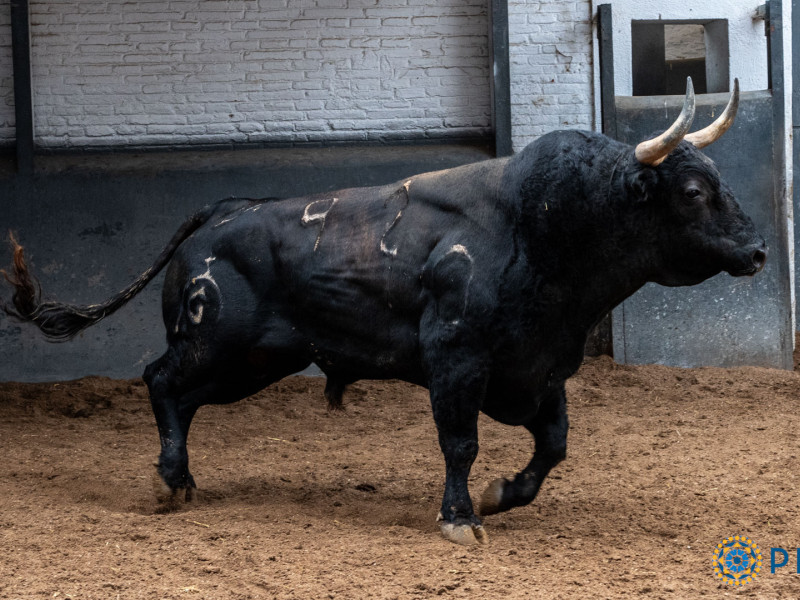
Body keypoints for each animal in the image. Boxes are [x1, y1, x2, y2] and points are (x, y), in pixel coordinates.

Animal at [1, 85, 768, 548]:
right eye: (693, 190)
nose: (758, 248)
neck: (541, 226)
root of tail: (222, 211)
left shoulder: (540, 369)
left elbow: (553, 446)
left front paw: (502, 495)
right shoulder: (456, 362)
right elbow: (460, 444)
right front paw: (460, 518)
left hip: (256, 360)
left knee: (179, 397)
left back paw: (183, 480)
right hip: (216, 343)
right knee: (160, 382)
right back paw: (168, 481)